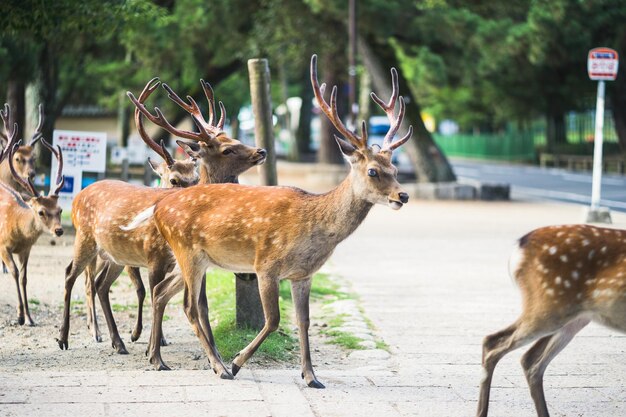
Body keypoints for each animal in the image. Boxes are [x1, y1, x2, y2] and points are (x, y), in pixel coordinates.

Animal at [0, 136, 64, 324]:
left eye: (60, 210)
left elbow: (24, 277)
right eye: (41, 212)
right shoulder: (3, 246)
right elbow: (14, 273)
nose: (59, 230)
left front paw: (29, 318)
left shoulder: (26, 250)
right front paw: (20, 316)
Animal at [56, 78, 266, 358]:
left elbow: (202, 305)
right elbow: (155, 294)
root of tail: (79, 194)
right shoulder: (154, 256)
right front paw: (151, 348)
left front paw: (215, 353)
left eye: (236, 137)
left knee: (100, 285)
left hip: (115, 255)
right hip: (85, 239)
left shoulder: (194, 262)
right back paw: (64, 338)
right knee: (71, 274)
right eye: (227, 149)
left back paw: (118, 342)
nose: (261, 151)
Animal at [136, 53, 410, 386]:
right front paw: (238, 362)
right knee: (189, 306)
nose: (402, 196)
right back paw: (219, 367)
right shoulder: (266, 264)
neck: (312, 226)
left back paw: (159, 358)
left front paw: (311, 376)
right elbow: (274, 320)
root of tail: (160, 207)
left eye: (395, 170)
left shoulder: (304, 274)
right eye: (372, 171)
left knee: (164, 292)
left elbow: (303, 321)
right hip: (187, 252)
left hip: (193, 258)